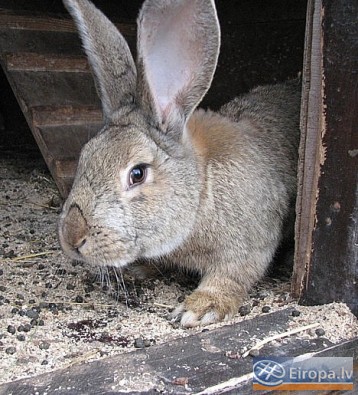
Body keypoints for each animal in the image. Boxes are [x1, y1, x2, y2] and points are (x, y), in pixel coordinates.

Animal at [59, 0, 302, 328]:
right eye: (85, 156)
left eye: (137, 173)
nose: (72, 237)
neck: (202, 191)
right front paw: (141, 269)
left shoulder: (249, 243)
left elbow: (232, 276)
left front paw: (199, 308)